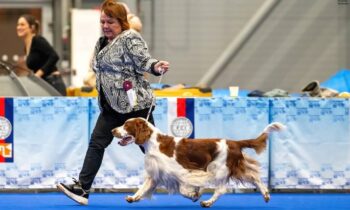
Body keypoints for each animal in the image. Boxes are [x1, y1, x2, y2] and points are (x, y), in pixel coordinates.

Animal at [112, 117, 284, 208]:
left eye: (126, 125)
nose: (113, 130)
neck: (154, 142)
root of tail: (235, 143)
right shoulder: (156, 172)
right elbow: (143, 188)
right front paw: (133, 198)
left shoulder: (182, 170)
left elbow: (183, 189)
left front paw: (193, 194)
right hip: (234, 167)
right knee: (254, 177)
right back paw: (266, 195)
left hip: (219, 168)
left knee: (221, 189)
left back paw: (207, 202)